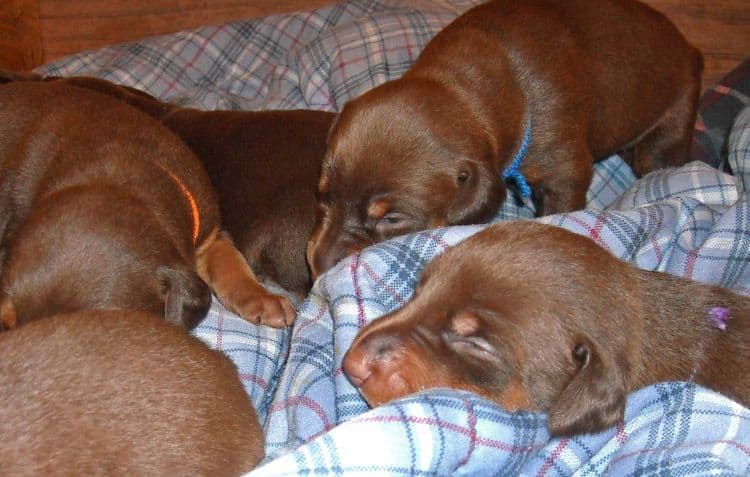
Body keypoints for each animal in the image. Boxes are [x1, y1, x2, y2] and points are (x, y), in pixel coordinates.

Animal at [306, 0, 704, 278]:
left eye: (391, 219)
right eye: (323, 196)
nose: (318, 268)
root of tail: (691, 49)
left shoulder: (564, 170)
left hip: (670, 123)